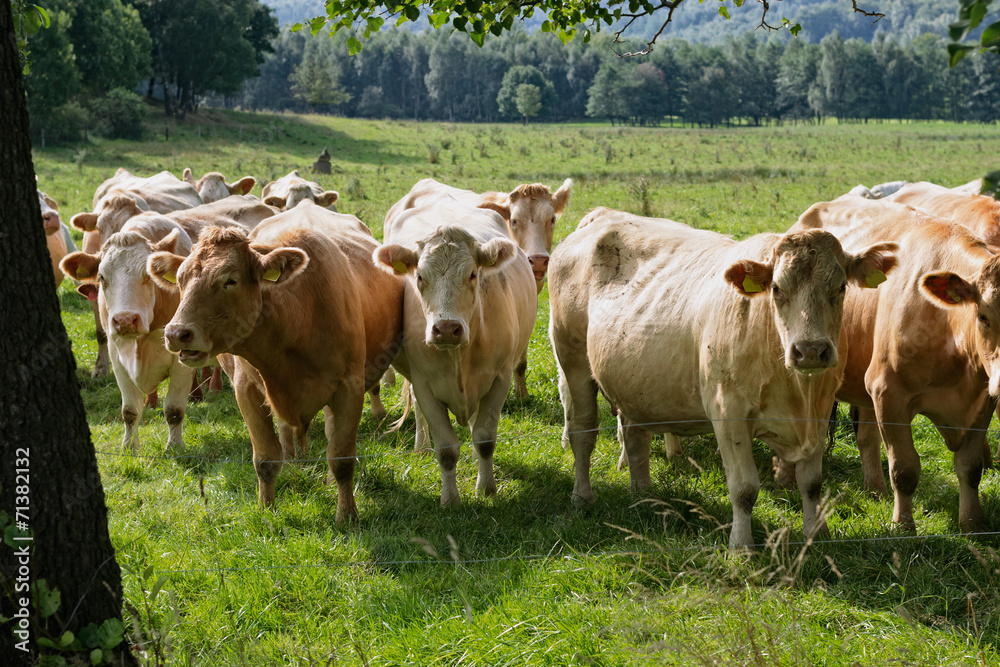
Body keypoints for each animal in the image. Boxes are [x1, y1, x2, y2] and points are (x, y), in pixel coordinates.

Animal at [60, 217, 196, 451]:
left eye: (148, 275)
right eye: (101, 277)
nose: (125, 320)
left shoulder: (181, 363)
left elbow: (174, 409)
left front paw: (174, 446)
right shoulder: (117, 359)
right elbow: (130, 410)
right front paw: (129, 446)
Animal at [147, 200, 405, 521]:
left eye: (230, 280)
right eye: (180, 280)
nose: (176, 333)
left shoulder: (350, 387)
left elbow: (342, 457)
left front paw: (347, 515)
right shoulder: (246, 389)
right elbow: (266, 459)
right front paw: (266, 510)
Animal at [374, 196, 537, 507]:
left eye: (473, 274)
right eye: (420, 277)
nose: (447, 328)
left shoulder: (499, 379)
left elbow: (484, 438)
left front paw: (486, 488)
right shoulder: (424, 385)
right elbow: (447, 449)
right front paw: (450, 498)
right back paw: (421, 447)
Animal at [548, 207, 897, 550]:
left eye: (841, 288)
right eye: (777, 289)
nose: (810, 350)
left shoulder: (821, 412)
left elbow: (811, 483)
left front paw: (816, 535)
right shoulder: (727, 412)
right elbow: (744, 488)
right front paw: (741, 546)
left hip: (633, 385)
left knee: (635, 438)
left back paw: (643, 494)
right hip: (573, 361)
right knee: (582, 432)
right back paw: (582, 497)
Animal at [788, 199, 1000, 532]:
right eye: (983, 316)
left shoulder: (983, 399)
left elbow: (971, 466)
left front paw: (973, 524)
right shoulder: (889, 393)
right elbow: (905, 469)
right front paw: (903, 526)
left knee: (866, 437)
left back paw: (876, 489)